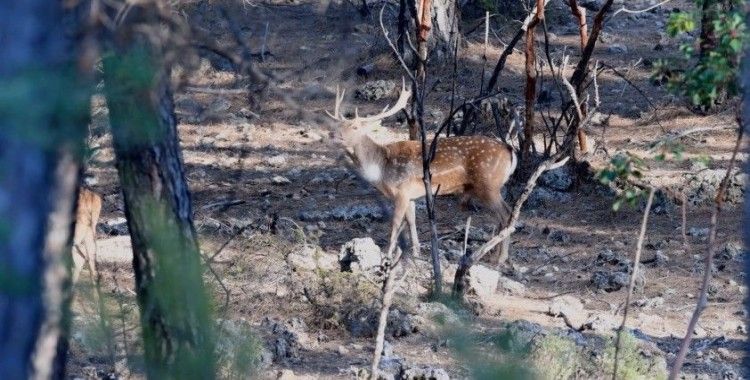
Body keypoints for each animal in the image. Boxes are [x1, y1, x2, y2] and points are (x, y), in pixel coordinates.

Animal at [326, 80, 520, 258]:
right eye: (338, 125)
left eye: (355, 127)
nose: (332, 134)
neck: (381, 168)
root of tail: (509, 150)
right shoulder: (411, 196)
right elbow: (412, 221)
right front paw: (416, 252)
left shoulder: (402, 191)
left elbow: (396, 222)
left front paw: (388, 254)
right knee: (503, 216)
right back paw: (495, 254)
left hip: (488, 185)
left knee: (506, 214)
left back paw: (500, 258)